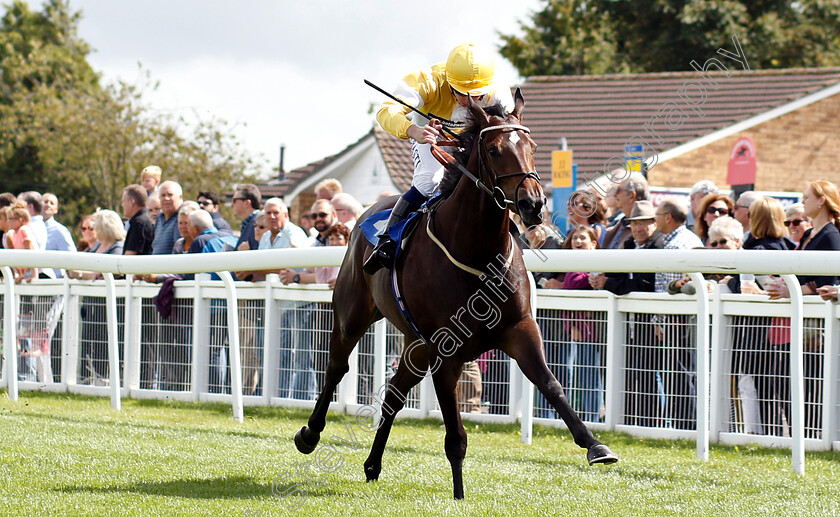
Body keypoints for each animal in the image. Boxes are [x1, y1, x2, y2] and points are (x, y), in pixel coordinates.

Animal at [296, 90, 616, 498]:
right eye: (494, 150)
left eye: (532, 147)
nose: (533, 204)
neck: (476, 251)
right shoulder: (444, 351)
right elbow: (456, 435)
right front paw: (459, 496)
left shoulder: (520, 329)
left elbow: (551, 384)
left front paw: (595, 445)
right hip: (352, 316)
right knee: (337, 368)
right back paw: (309, 435)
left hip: (414, 346)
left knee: (394, 394)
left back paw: (372, 465)